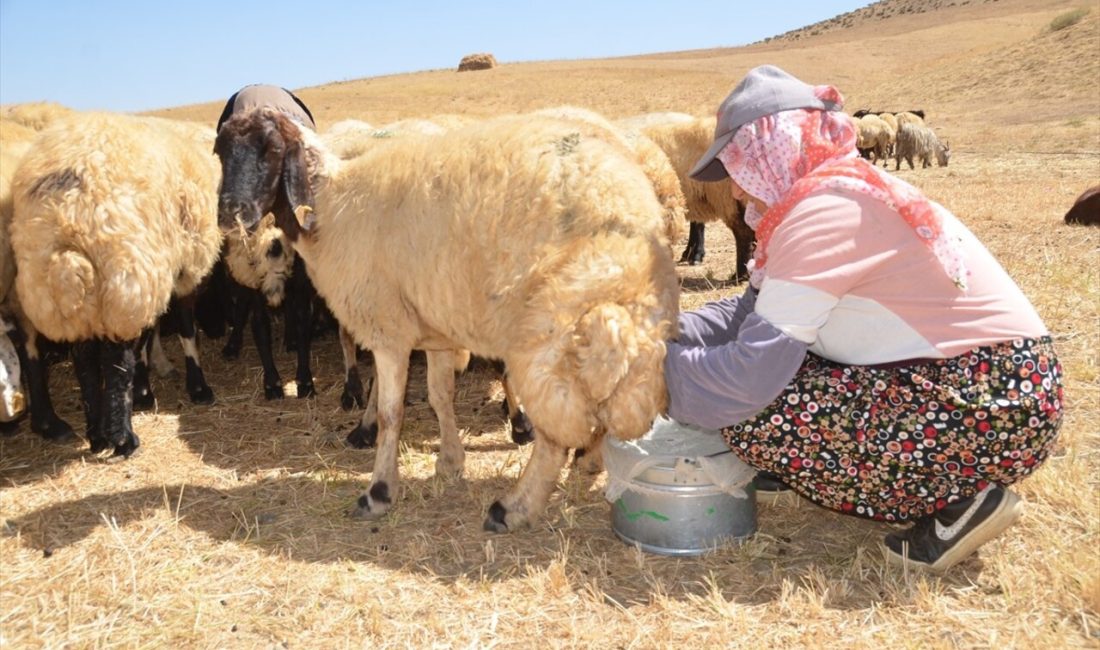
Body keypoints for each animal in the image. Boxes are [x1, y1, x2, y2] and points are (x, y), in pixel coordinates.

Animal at [11, 113, 223, 457]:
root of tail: (66, 214)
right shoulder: (182, 266)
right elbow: (185, 328)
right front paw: (195, 387)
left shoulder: (161, 269)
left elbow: (151, 333)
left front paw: (146, 388)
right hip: (123, 272)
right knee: (116, 362)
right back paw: (123, 438)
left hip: (76, 293)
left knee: (85, 361)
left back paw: (97, 436)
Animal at [214, 108, 677, 534]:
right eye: (220, 151)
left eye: (271, 149)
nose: (230, 214)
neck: (331, 204)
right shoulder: (435, 332)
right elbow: (440, 398)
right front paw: (450, 463)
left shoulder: (388, 332)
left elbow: (391, 414)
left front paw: (379, 492)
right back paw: (586, 463)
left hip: (551, 333)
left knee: (553, 437)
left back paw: (513, 508)